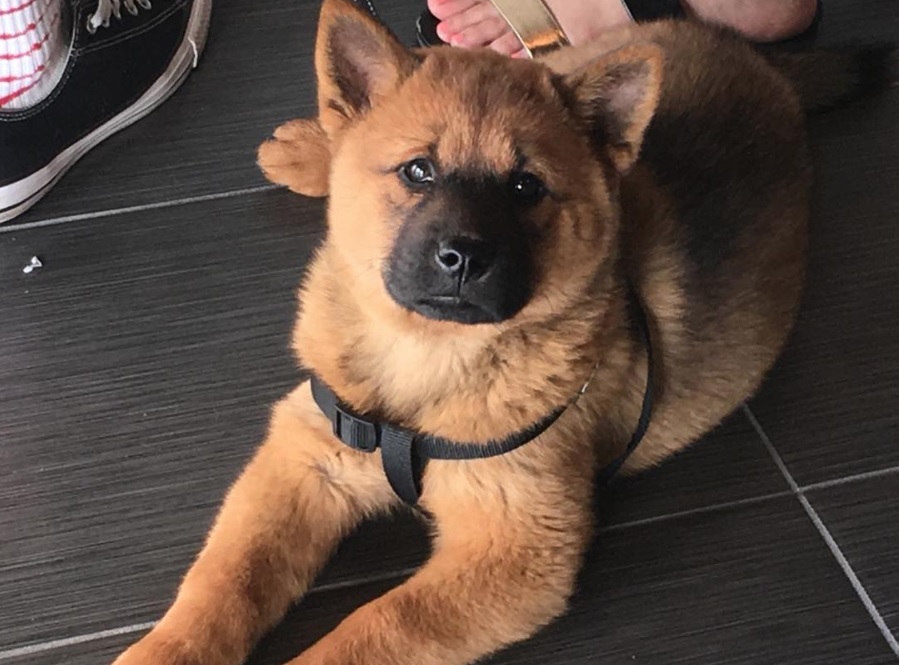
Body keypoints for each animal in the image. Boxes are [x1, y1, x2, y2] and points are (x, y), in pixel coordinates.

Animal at [112, 1, 892, 664]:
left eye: (525, 188)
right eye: (417, 171)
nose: (464, 257)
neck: (427, 354)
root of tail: (757, 61)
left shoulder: (516, 549)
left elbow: (378, 624)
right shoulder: (305, 457)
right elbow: (227, 577)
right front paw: (164, 648)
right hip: (571, 54)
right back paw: (311, 148)